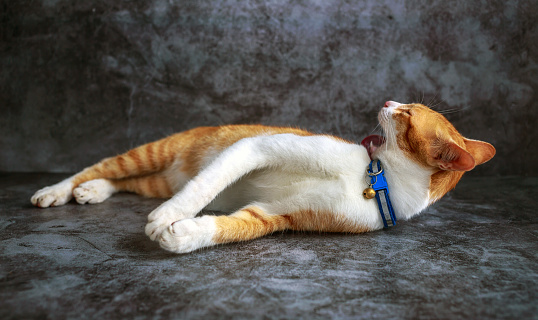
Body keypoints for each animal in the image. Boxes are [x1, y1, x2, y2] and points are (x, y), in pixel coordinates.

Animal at [31, 101, 494, 254]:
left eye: (407, 115)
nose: (388, 101)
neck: (374, 179)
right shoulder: (257, 146)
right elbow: (207, 184)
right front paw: (169, 216)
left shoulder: (277, 215)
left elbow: (239, 225)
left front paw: (183, 234)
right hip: (159, 151)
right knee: (105, 166)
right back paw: (58, 190)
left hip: (159, 177)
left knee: (129, 181)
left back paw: (93, 191)